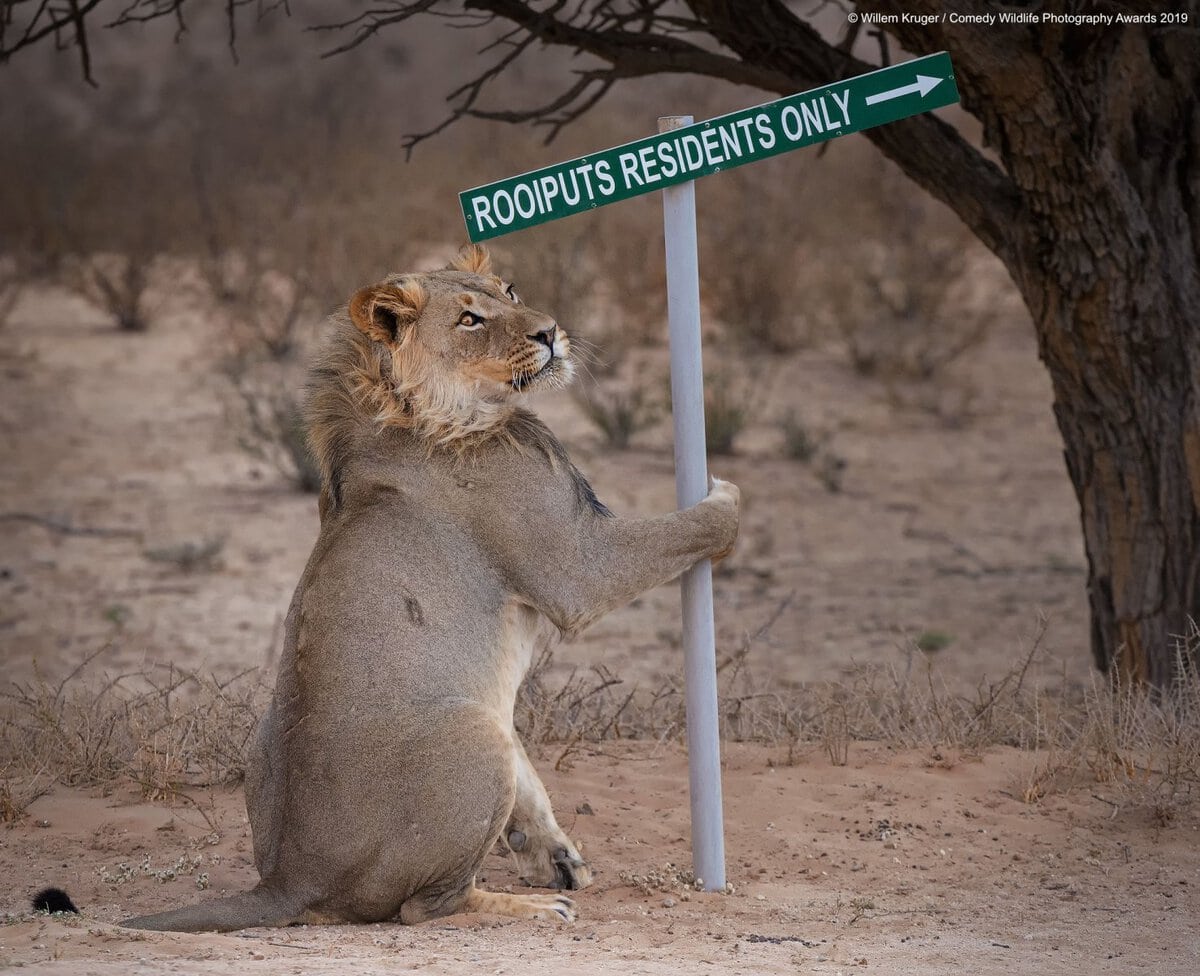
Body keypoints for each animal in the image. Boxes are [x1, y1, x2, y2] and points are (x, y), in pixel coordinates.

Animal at [124, 243, 739, 926]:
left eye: (510, 291)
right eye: (469, 320)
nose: (550, 332)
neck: (437, 413)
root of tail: (288, 880)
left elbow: (532, 784)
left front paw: (555, 854)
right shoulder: (577, 565)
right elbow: (690, 527)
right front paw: (726, 495)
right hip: (473, 736)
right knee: (430, 906)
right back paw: (532, 908)